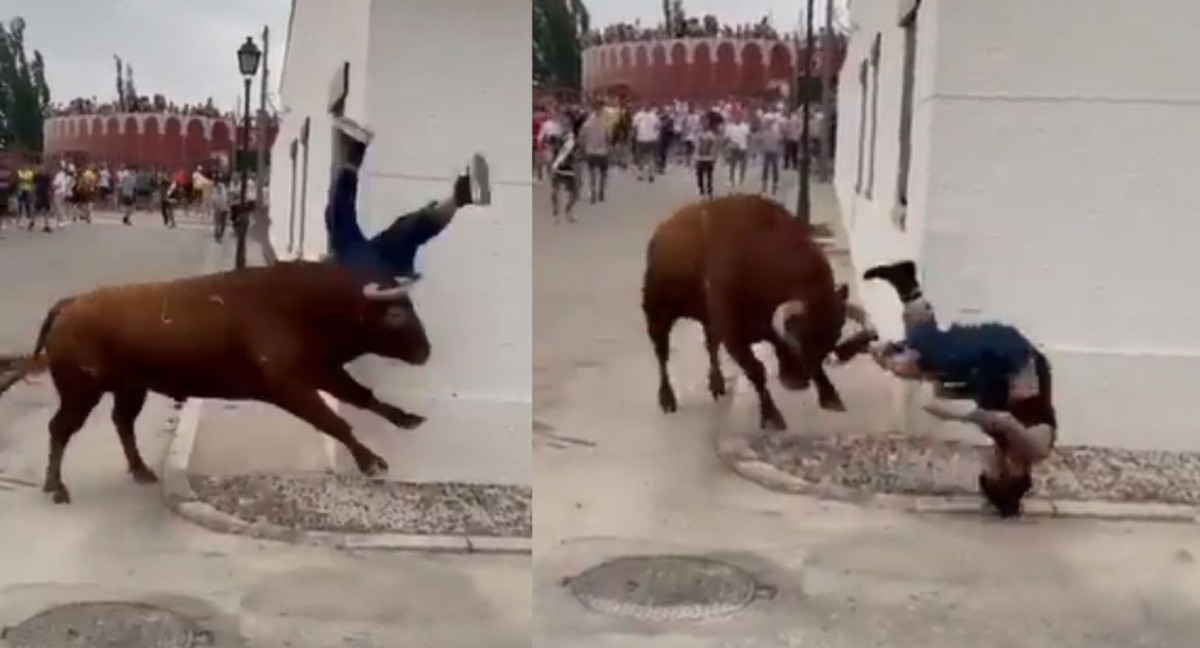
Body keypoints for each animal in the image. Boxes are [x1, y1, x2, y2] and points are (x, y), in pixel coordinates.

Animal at [3, 260, 432, 504]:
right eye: (396, 313)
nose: (426, 351)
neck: (306, 303)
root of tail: (69, 304)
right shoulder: (290, 386)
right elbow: (335, 421)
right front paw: (371, 462)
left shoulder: (320, 371)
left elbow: (362, 397)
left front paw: (407, 419)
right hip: (81, 393)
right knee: (60, 428)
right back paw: (56, 487)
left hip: (130, 389)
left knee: (121, 423)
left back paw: (141, 470)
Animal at [643, 194, 878, 432]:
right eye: (802, 336)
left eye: (832, 336)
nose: (797, 382)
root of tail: (661, 233)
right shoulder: (733, 334)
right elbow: (756, 370)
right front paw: (771, 415)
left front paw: (830, 397)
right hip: (657, 314)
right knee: (662, 353)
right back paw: (667, 398)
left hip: (706, 320)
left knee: (710, 346)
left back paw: (717, 384)